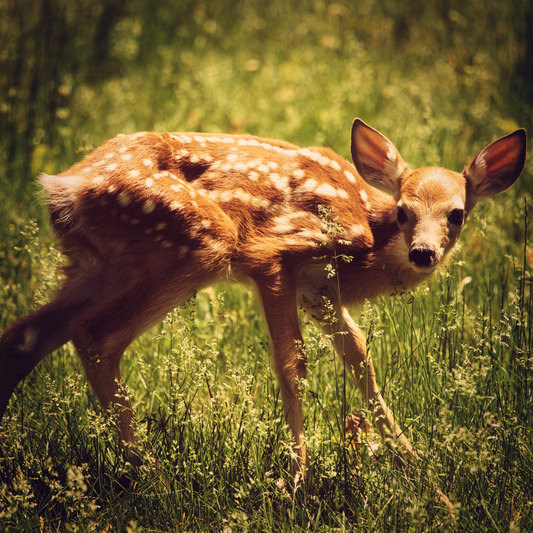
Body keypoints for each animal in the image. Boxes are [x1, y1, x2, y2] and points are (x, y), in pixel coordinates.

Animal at [0, 120, 524, 478]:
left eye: (457, 214)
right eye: (403, 211)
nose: (423, 253)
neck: (367, 239)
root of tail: (65, 185)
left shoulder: (319, 289)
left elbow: (361, 361)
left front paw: (417, 468)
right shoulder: (274, 256)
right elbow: (293, 363)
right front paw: (298, 480)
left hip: (101, 265)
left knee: (25, 334)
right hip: (196, 242)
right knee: (95, 336)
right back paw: (150, 473)